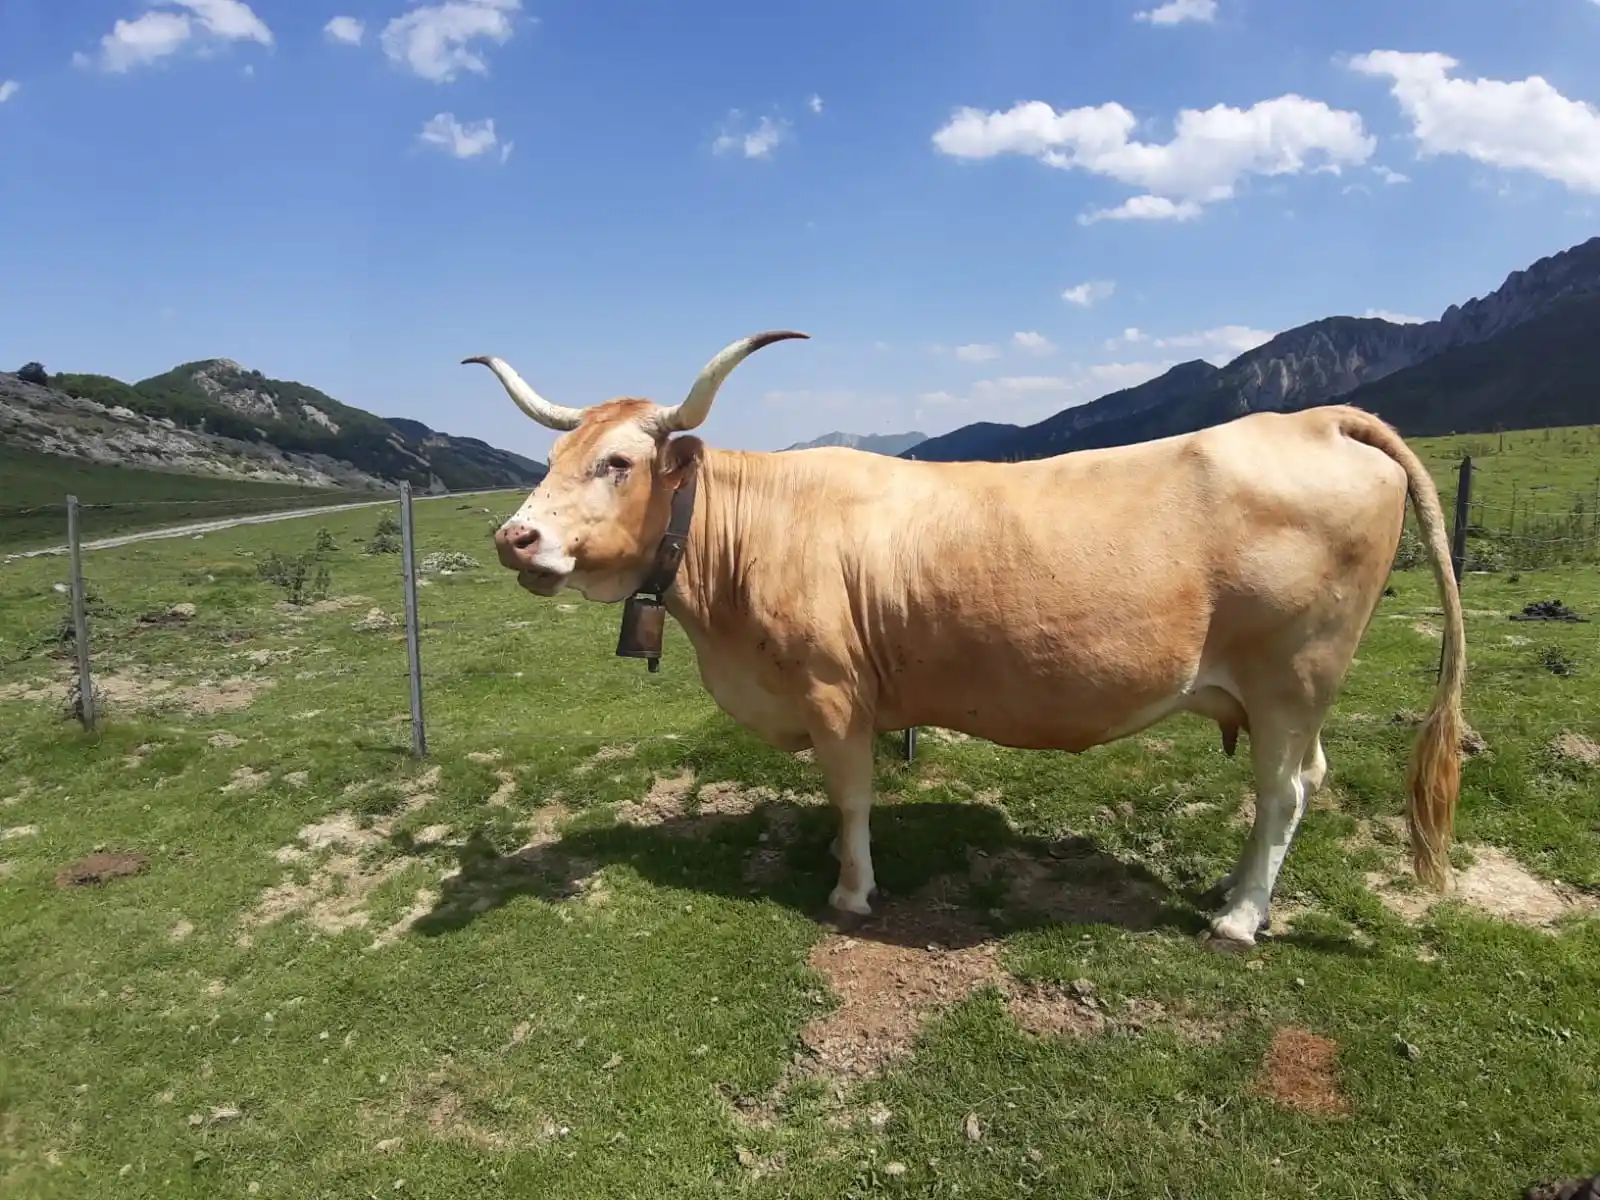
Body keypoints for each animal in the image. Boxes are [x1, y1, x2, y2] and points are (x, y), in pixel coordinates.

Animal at [463, 331, 1466, 948]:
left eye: (616, 462)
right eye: (550, 460)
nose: (515, 538)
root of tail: (1314, 418)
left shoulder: (835, 694)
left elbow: (852, 799)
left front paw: (851, 889)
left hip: (1292, 678)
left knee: (1283, 792)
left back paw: (1239, 919)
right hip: (1287, 696)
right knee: (1301, 785)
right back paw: (1232, 892)